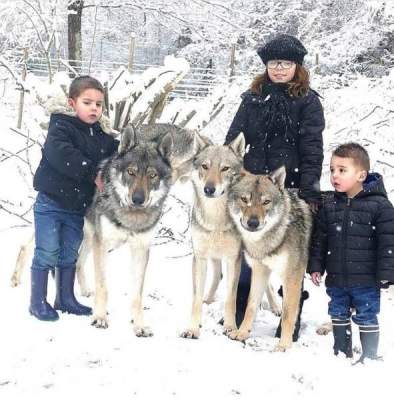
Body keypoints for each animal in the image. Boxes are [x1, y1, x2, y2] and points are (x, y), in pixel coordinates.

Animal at [226, 167, 312, 352]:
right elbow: (251, 306)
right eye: (245, 199)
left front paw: (284, 345)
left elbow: (288, 314)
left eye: (266, 202)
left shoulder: (292, 277)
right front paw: (242, 333)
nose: (253, 223)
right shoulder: (260, 270)